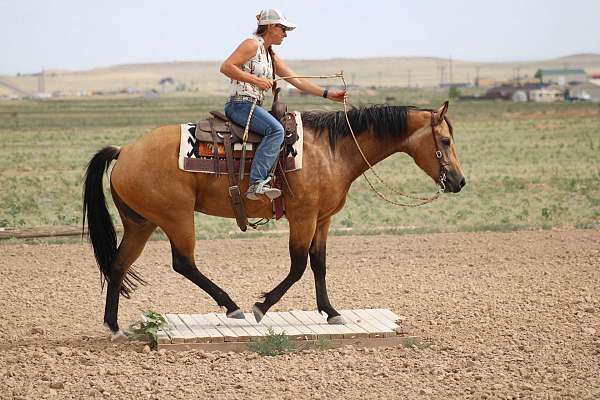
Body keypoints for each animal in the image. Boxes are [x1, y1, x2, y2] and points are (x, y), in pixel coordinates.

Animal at [81, 99, 464, 338]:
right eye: (445, 140)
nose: (459, 181)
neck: (332, 151)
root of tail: (125, 151)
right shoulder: (303, 217)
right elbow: (298, 266)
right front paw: (261, 306)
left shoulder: (322, 219)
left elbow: (319, 263)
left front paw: (331, 311)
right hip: (175, 217)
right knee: (183, 262)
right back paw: (232, 306)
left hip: (140, 223)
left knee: (119, 264)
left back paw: (113, 327)